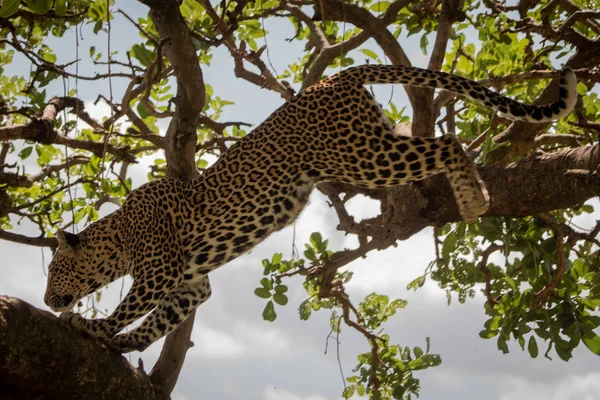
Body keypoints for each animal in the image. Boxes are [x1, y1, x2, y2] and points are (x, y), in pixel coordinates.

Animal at [43, 65, 576, 354]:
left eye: (52, 271)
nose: (47, 299)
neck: (117, 236)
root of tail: (335, 78)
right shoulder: (190, 284)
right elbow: (157, 320)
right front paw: (122, 343)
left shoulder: (159, 271)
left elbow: (128, 307)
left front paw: (92, 327)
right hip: (374, 142)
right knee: (433, 140)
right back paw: (473, 196)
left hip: (362, 157)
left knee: (447, 143)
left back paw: (473, 200)